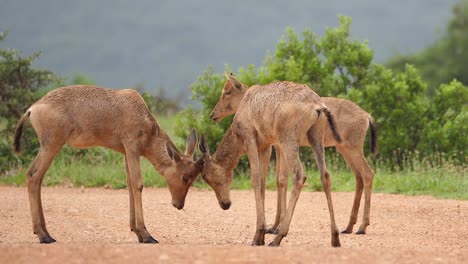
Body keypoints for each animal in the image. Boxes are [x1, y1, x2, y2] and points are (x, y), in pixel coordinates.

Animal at [12, 85, 203, 244]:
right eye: (185, 177)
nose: (178, 205)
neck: (137, 109)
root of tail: (33, 108)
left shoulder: (126, 152)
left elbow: (130, 186)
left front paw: (137, 232)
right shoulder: (132, 148)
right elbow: (138, 184)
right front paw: (147, 235)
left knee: (37, 179)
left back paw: (46, 233)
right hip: (51, 145)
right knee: (33, 176)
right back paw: (43, 236)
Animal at [210, 72, 378, 235]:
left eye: (228, 91)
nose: (213, 115)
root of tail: (366, 115)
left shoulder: (276, 146)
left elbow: (281, 179)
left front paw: (276, 228)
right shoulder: (278, 147)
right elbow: (280, 179)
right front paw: (274, 227)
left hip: (352, 149)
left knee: (367, 173)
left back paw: (362, 227)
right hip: (344, 150)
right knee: (358, 177)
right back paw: (349, 227)